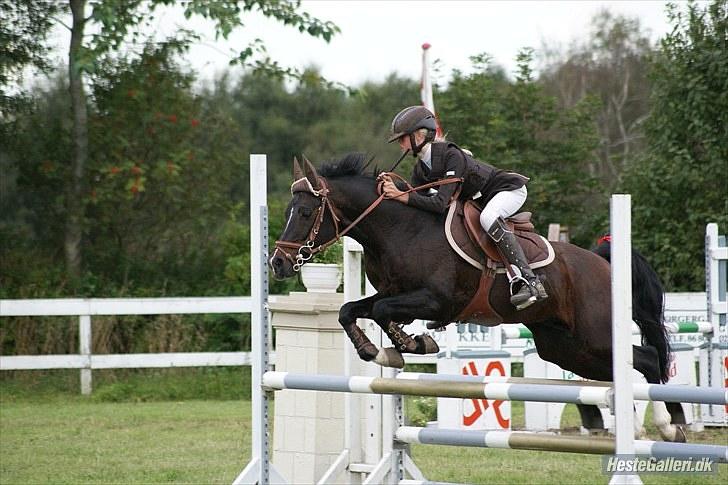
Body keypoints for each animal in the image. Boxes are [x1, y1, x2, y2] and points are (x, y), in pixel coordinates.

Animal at [270, 154, 683, 441]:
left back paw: (666, 427)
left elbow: (384, 312)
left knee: (647, 359)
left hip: (594, 335)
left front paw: (411, 343)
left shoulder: (437, 300)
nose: (278, 263)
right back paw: (635, 423)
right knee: (622, 367)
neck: (398, 229)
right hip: (565, 347)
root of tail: (603, 263)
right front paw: (379, 349)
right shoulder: (394, 293)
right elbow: (349, 310)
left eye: (304, 212)